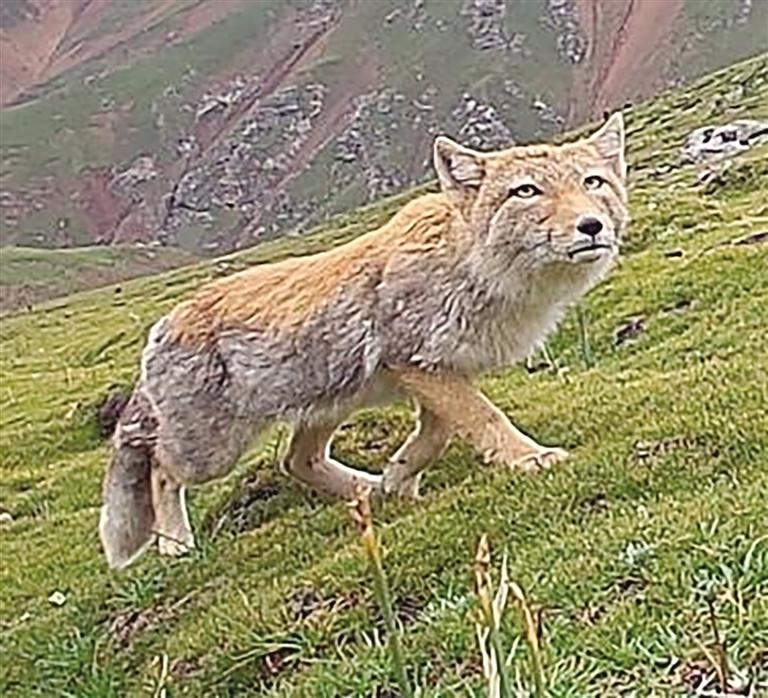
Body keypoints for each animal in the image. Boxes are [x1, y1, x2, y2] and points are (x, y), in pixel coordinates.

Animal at [99, 113, 628, 569]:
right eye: (527, 191)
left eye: (592, 183)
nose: (591, 226)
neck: (477, 270)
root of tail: (163, 323)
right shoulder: (416, 362)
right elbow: (485, 418)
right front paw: (528, 457)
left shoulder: (436, 370)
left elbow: (435, 437)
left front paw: (398, 478)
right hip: (210, 452)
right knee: (159, 465)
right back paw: (174, 543)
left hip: (326, 407)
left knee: (296, 461)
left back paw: (368, 488)